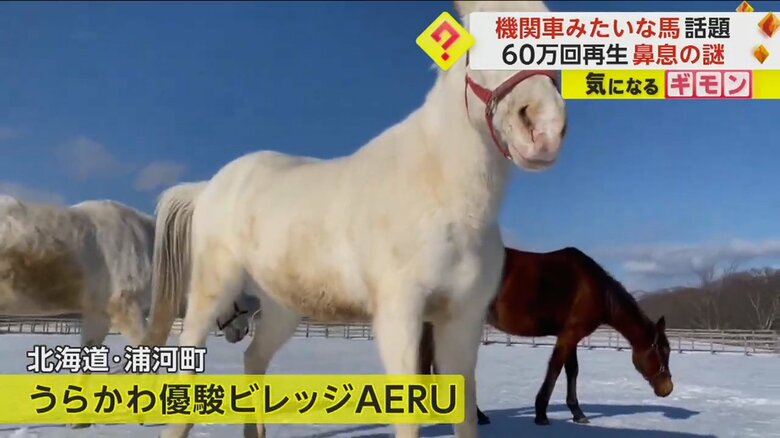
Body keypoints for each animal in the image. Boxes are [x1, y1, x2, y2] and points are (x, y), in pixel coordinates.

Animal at [142, 1, 568, 436]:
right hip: (213, 289)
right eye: (478, 41)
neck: (442, 192)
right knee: (191, 359)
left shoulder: (462, 320)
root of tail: (210, 185)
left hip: (281, 308)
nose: (543, 129)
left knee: (254, 359)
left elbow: (464, 413)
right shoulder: (399, 315)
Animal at [419, 246, 674, 427]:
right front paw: (541, 413)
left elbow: (572, 371)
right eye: (662, 351)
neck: (595, 288)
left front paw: (577, 412)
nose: (668, 389)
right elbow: (555, 368)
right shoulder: (570, 334)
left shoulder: (570, 335)